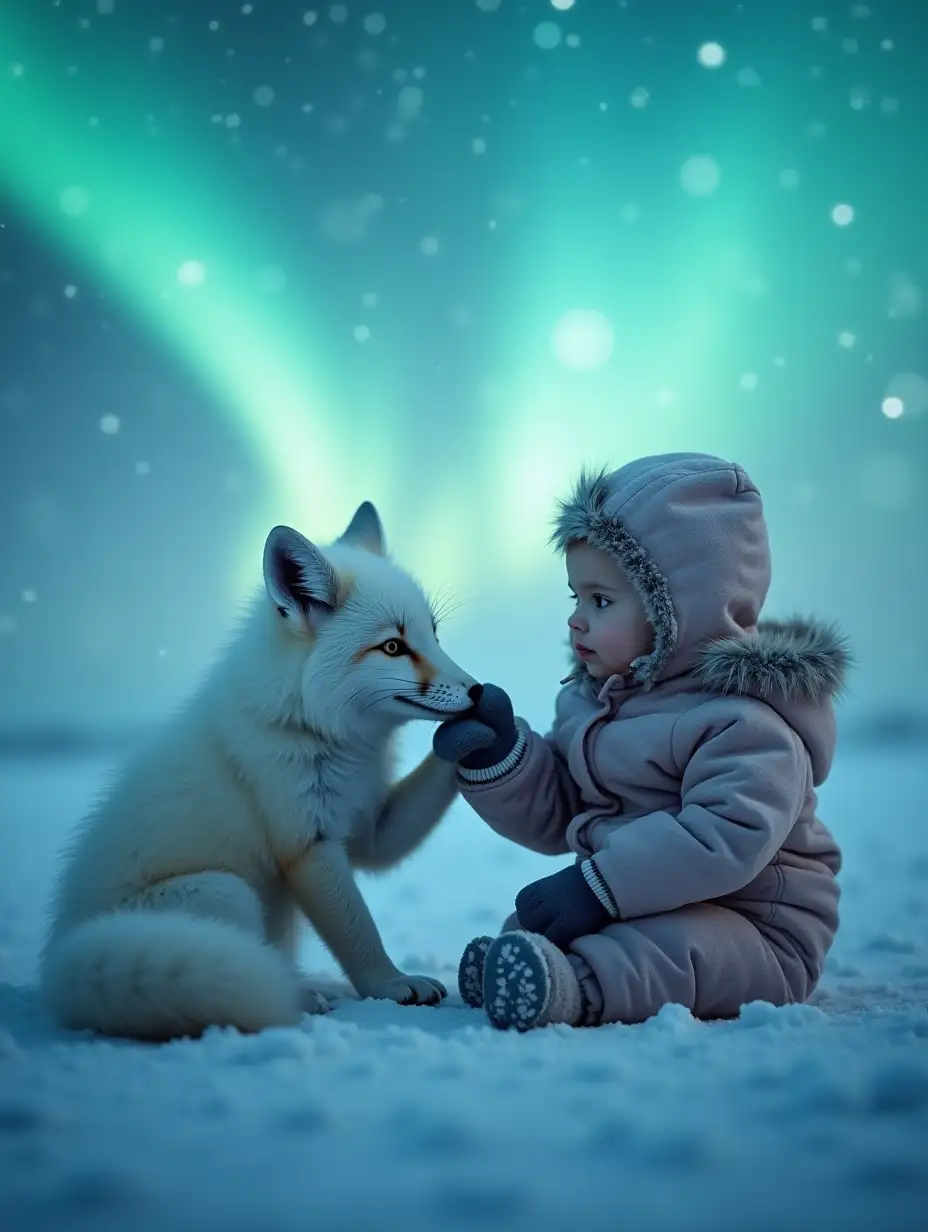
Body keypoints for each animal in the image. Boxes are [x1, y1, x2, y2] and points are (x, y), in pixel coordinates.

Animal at [39, 500, 480, 1039]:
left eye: (432, 634)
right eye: (393, 647)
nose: (479, 690)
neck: (318, 730)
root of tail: (58, 967)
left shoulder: (370, 827)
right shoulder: (307, 840)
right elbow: (359, 932)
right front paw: (392, 985)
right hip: (226, 893)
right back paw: (301, 997)